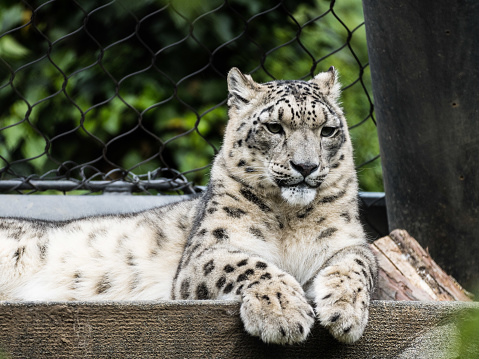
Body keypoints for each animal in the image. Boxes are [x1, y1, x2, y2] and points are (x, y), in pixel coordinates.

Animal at [0, 67, 378, 346]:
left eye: (327, 130)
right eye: (274, 127)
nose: (306, 166)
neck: (289, 217)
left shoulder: (348, 243)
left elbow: (356, 266)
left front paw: (344, 312)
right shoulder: (207, 251)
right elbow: (250, 264)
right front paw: (283, 313)